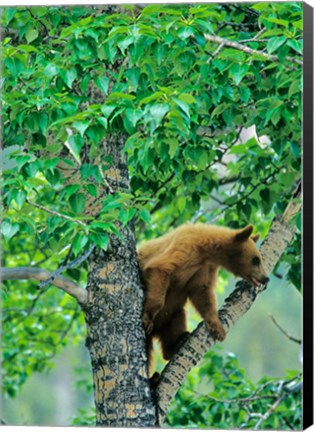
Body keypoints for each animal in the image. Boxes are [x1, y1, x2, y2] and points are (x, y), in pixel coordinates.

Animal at [137, 223, 270, 372]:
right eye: (256, 259)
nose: (266, 278)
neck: (206, 252)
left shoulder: (204, 269)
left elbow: (202, 293)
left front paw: (218, 329)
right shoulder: (183, 249)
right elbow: (160, 269)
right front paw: (147, 316)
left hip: (171, 315)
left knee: (177, 320)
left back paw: (178, 342)